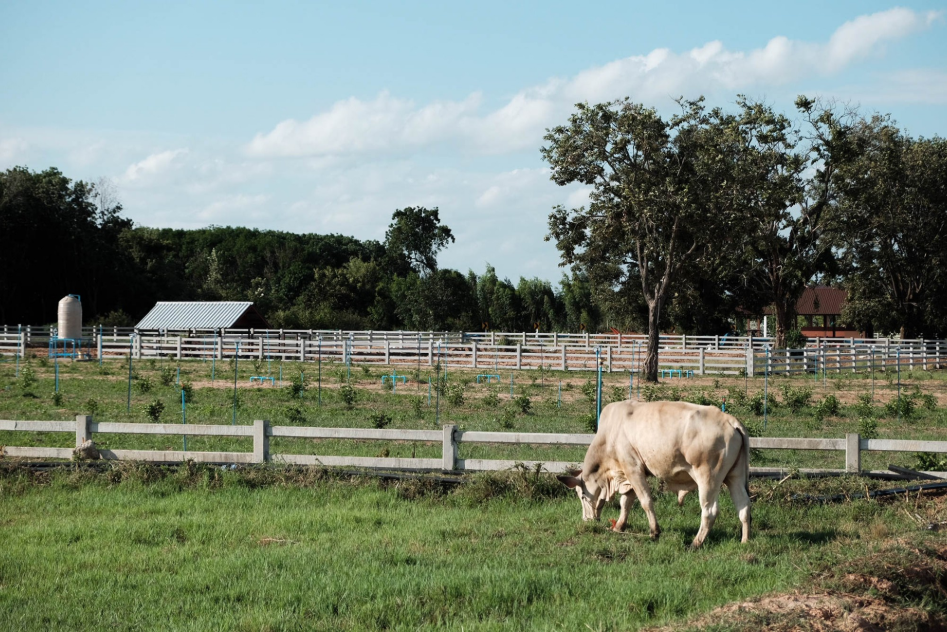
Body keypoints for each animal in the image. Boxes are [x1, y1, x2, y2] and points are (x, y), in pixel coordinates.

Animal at [560, 402, 752, 544]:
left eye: (582, 495)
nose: (587, 520)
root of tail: (730, 420)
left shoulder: (633, 469)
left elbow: (645, 501)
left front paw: (654, 531)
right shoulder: (629, 475)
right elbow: (626, 502)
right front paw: (619, 526)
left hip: (708, 479)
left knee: (710, 511)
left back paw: (695, 543)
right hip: (735, 477)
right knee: (743, 506)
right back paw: (745, 541)